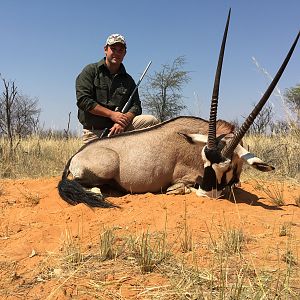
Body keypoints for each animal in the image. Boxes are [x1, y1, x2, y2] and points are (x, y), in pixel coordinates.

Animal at [57, 12, 298, 209]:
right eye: (206, 163)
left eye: (226, 167)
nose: (206, 193)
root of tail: (76, 156)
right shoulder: (185, 177)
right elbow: (182, 187)